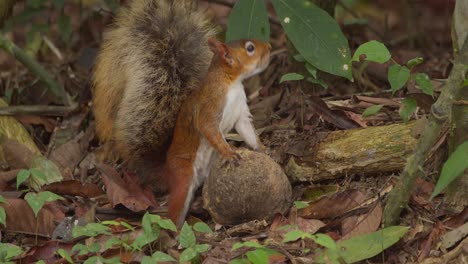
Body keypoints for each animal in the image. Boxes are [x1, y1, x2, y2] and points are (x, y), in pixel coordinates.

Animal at [165, 38, 270, 228]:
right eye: (250, 48)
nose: (270, 47)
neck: (232, 83)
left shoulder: (241, 112)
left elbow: (247, 130)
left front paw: (262, 148)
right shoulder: (210, 104)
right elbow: (207, 127)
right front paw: (229, 152)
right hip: (182, 173)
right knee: (175, 208)